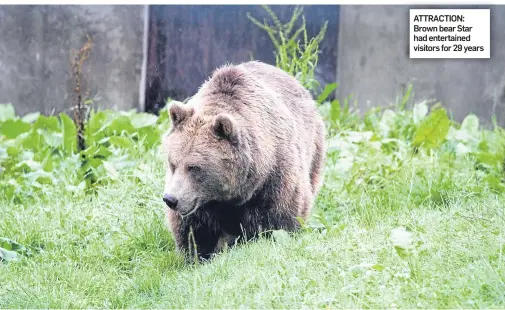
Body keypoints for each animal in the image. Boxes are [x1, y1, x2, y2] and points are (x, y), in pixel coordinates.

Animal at [161, 60, 326, 262]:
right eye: (173, 163)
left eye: (194, 167)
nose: (171, 199)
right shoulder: (200, 204)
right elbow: (194, 230)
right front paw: (196, 257)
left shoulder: (274, 178)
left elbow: (279, 219)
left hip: (313, 148)